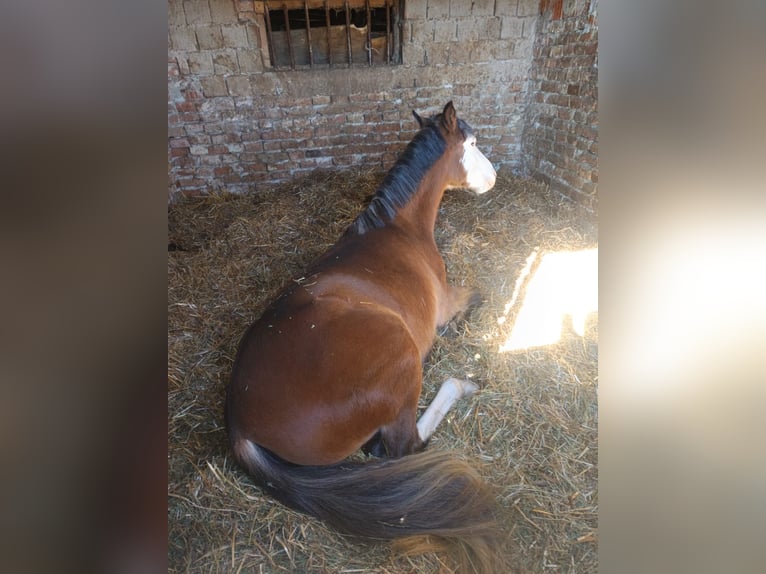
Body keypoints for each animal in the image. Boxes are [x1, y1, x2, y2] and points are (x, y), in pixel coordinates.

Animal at [226, 102, 500, 572]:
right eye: (472, 142)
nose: (494, 177)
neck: (400, 228)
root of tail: (239, 423)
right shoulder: (448, 300)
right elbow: (478, 296)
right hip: (401, 356)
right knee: (405, 446)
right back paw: (460, 384)